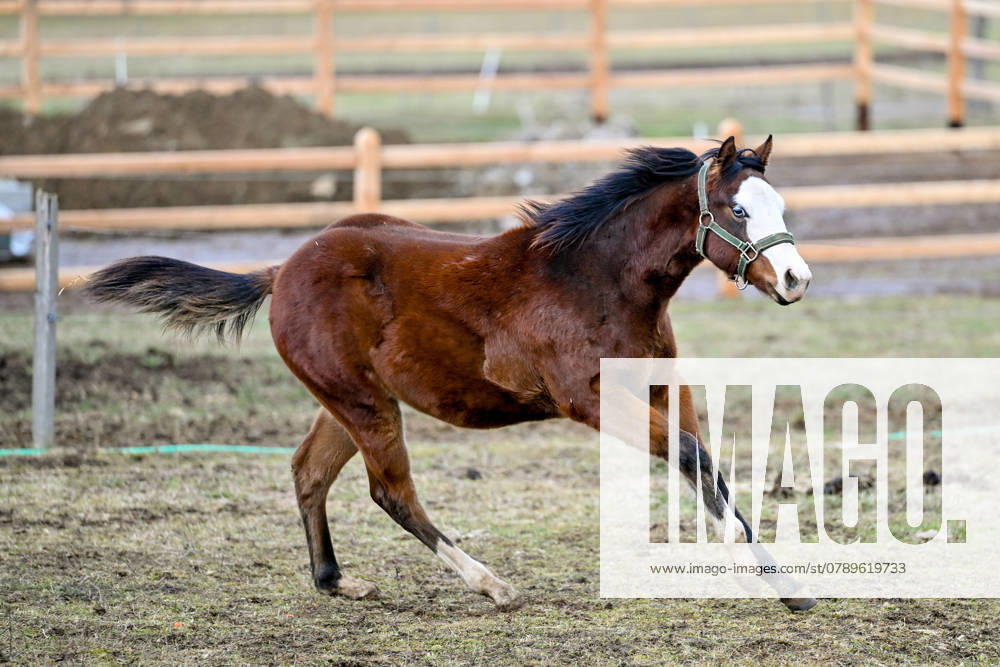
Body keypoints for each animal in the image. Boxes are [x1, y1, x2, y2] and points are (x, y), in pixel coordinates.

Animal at [85, 135, 814, 612]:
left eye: (780, 205)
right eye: (739, 210)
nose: (797, 279)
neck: (594, 279)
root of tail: (280, 270)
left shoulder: (665, 384)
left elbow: (705, 462)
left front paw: (778, 579)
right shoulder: (590, 399)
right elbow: (692, 455)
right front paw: (745, 558)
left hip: (348, 401)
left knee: (308, 472)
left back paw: (336, 581)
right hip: (365, 404)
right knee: (390, 493)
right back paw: (492, 585)